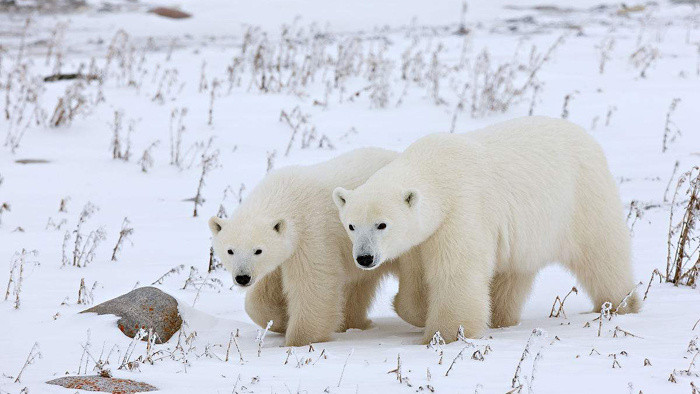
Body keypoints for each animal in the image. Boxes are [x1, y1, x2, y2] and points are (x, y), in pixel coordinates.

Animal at [211, 147, 418, 344]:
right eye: (230, 250)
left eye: (258, 250)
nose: (242, 278)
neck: (286, 194)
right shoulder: (283, 254)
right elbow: (262, 294)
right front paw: (280, 319)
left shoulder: (312, 232)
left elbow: (313, 284)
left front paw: (299, 339)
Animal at [334, 115, 640, 344]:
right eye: (351, 225)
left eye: (381, 224)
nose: (365, 258)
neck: (437, 172)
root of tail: (586, 136)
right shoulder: (418, 240)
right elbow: (416, 282)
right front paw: (421, 313)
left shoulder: (461, 211)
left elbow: (456, 273)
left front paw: (447, 333)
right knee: (513, 275)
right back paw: (501, 318)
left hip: (582, 199)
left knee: (602, 254)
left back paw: (621, 304)